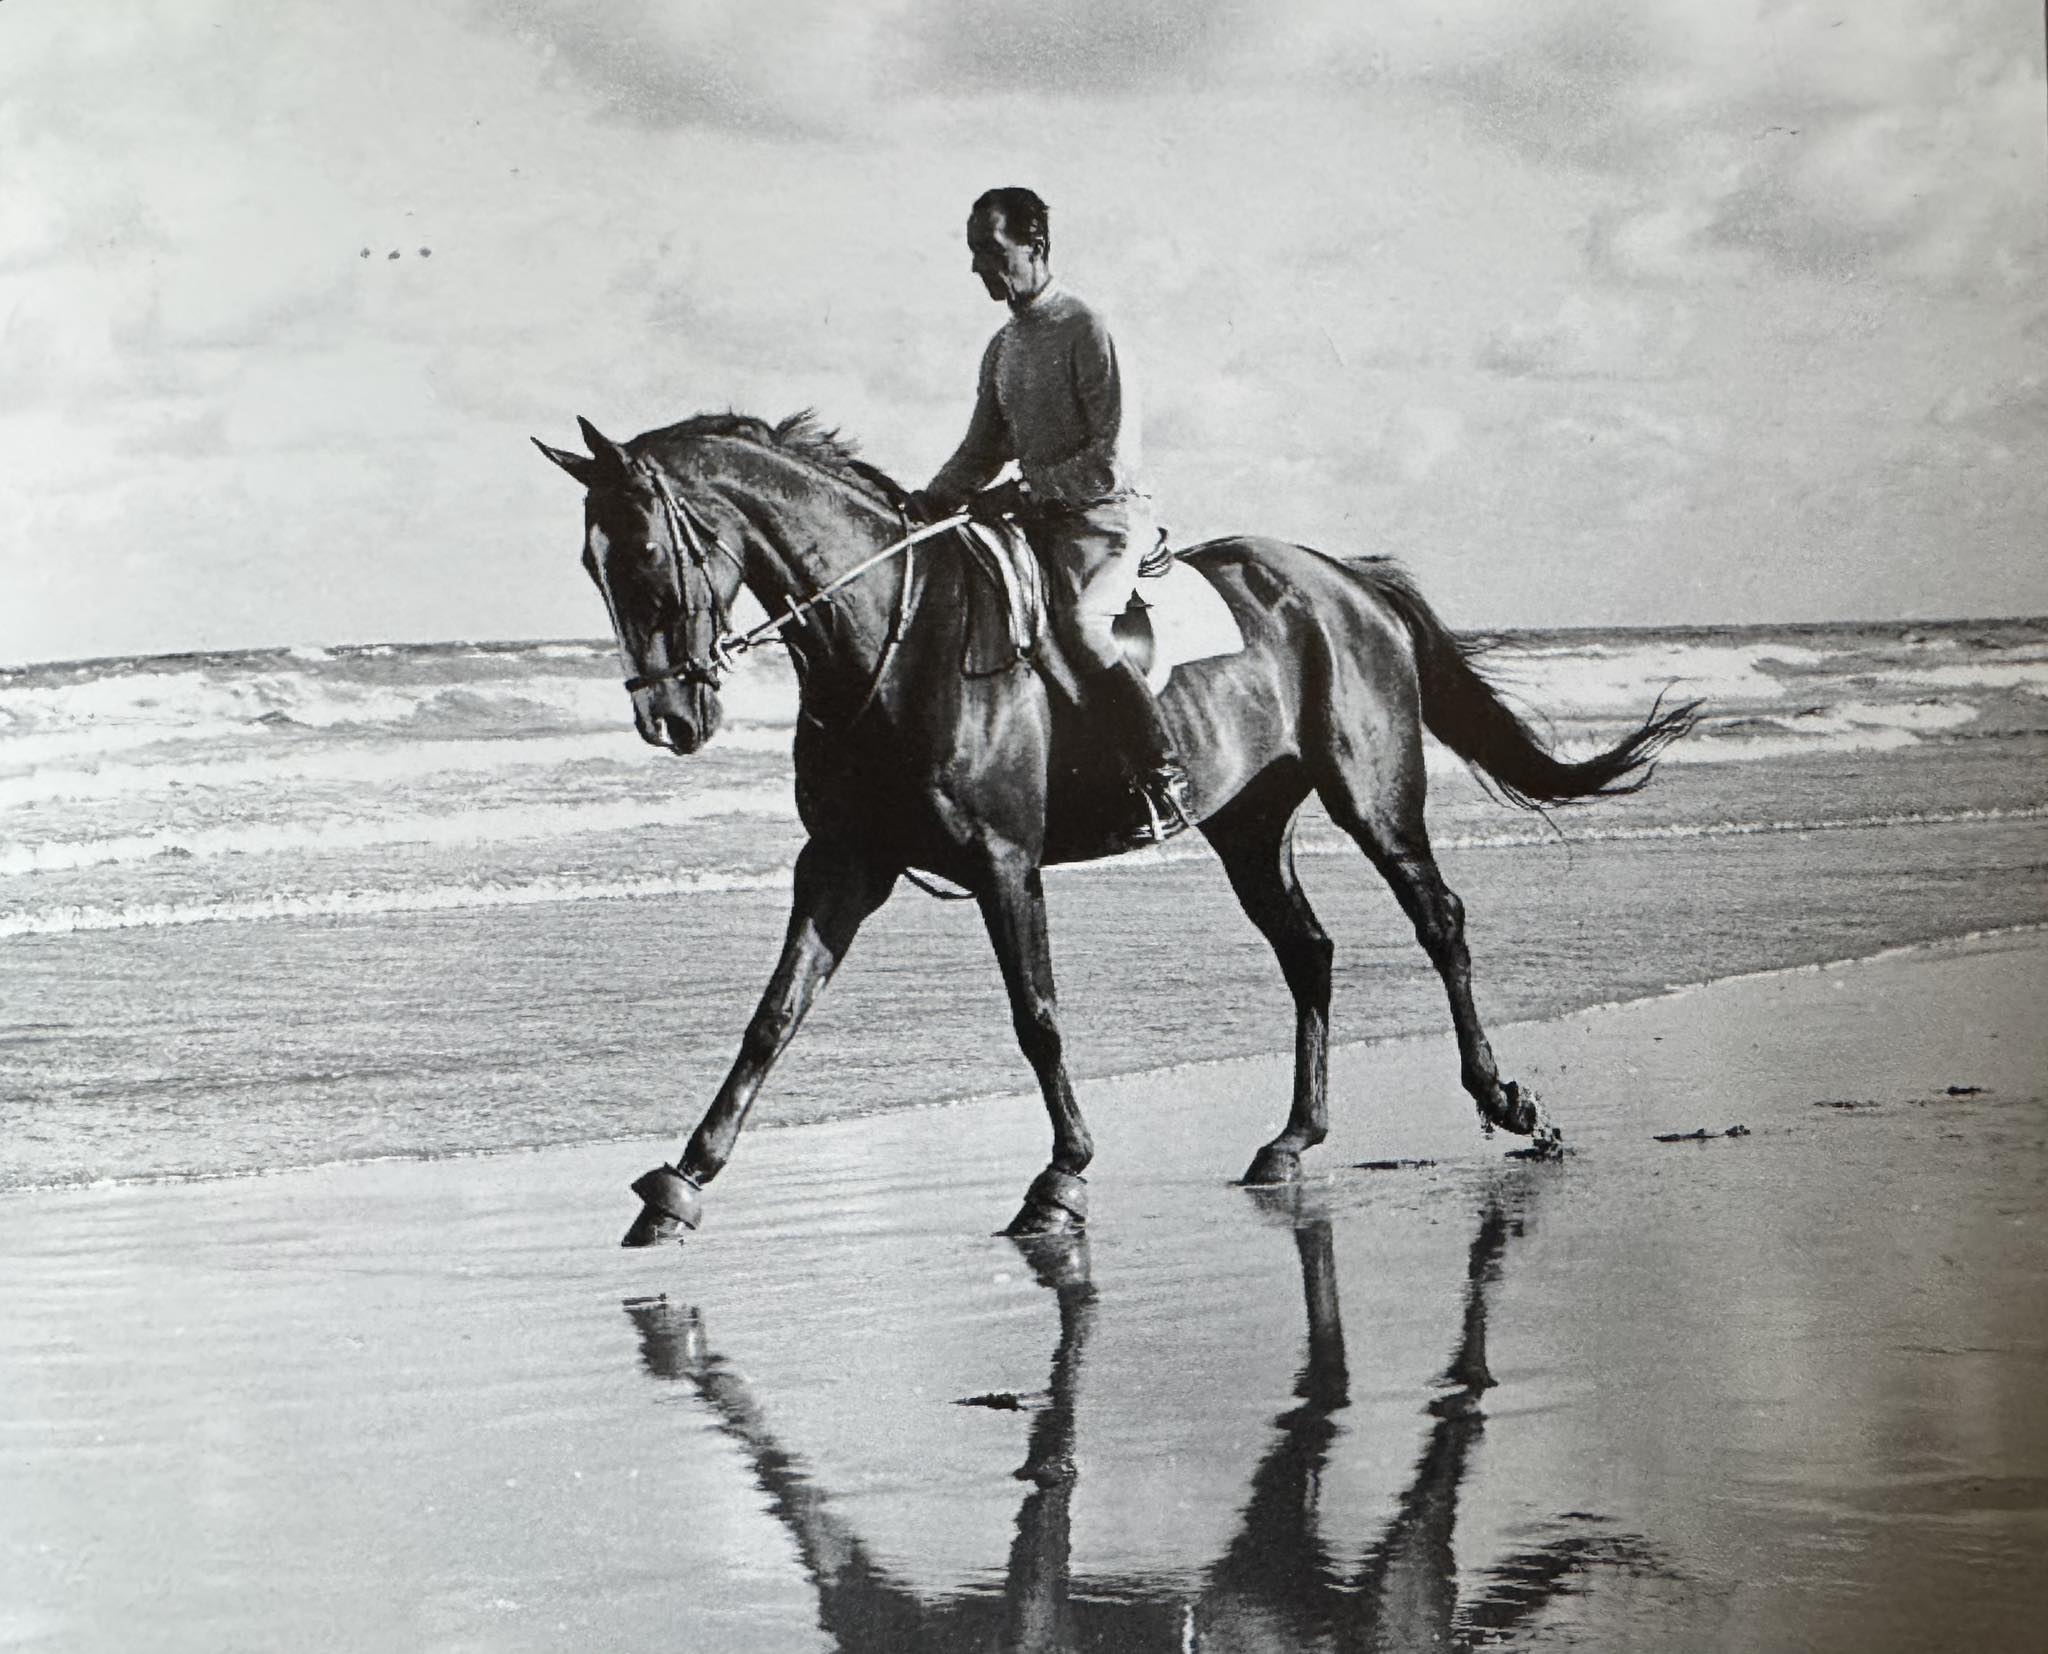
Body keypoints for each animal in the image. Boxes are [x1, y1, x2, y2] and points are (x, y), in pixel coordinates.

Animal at [533, 410, 1696, 1245]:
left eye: (644, 556)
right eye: (590, 567)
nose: (668, 719)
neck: (893, 641)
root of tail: (1342, 577)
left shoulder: (1003, 863)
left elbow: (1036, 1017)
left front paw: (1060, 1179)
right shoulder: (843, 865)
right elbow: (772, 1017)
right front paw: (681, 1181)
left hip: (1371, 795)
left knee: (1436, 919)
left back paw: (1506, 1102)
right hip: (1247, 825)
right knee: (1308, 951)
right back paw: (1291, 1140)